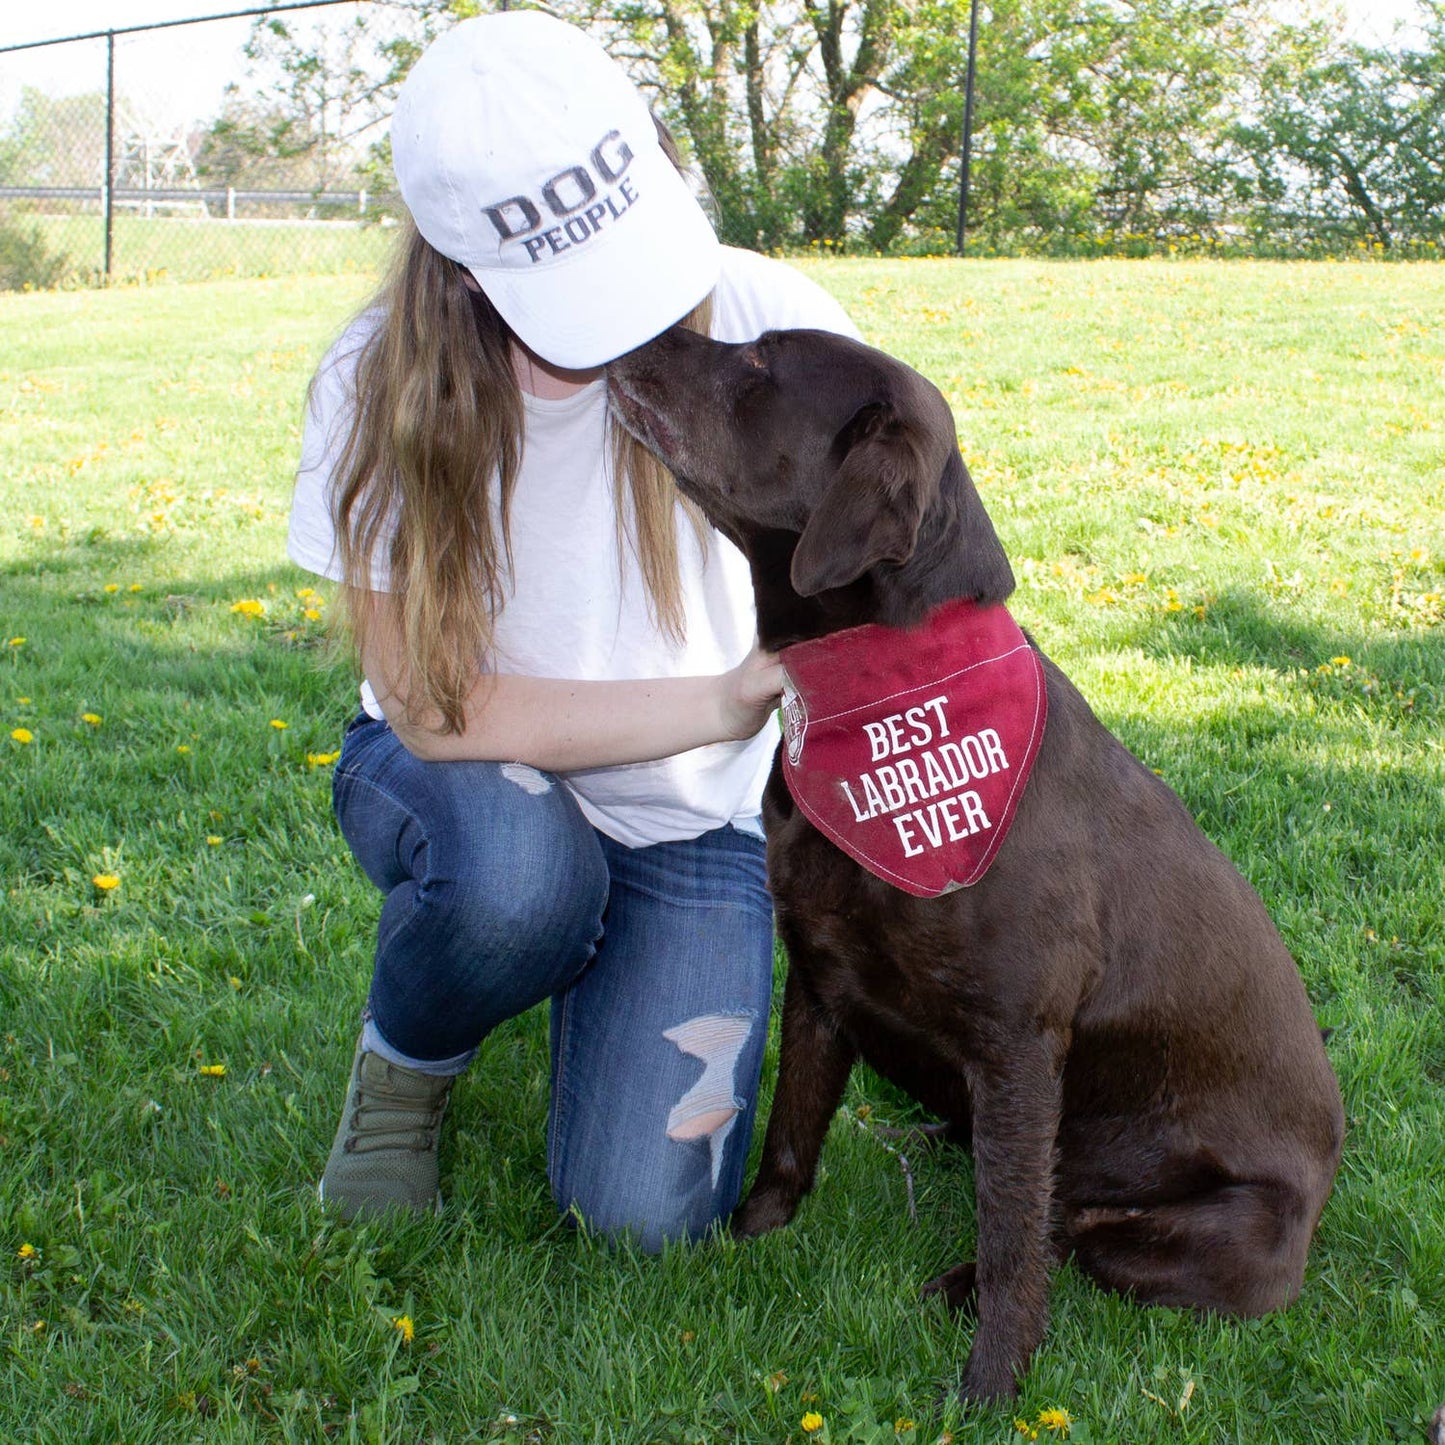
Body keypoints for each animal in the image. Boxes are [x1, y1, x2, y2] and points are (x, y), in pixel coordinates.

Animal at [606, 325, 1340, 1398]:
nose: (633, 342)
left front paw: (992, 1380)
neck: (878, 694)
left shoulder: (1017, 1041)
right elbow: (787, 1133)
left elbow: (1009, 1238)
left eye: (758, 362)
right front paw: (751, 1241)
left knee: (1066, 1232)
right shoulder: (817, 979)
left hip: (1204, 1239)